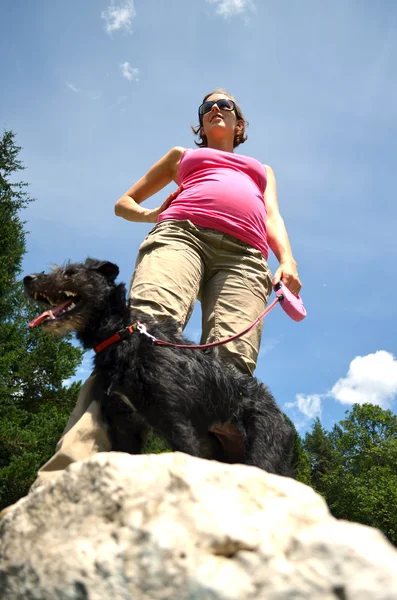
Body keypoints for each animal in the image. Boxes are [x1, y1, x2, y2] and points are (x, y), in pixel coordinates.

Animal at [23, 260, 292, 476]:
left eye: (71, 272)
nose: (28, 279)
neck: (123, 335)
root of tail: (275, 407)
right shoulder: (125, 426)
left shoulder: (177, 423)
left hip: (263, 452)